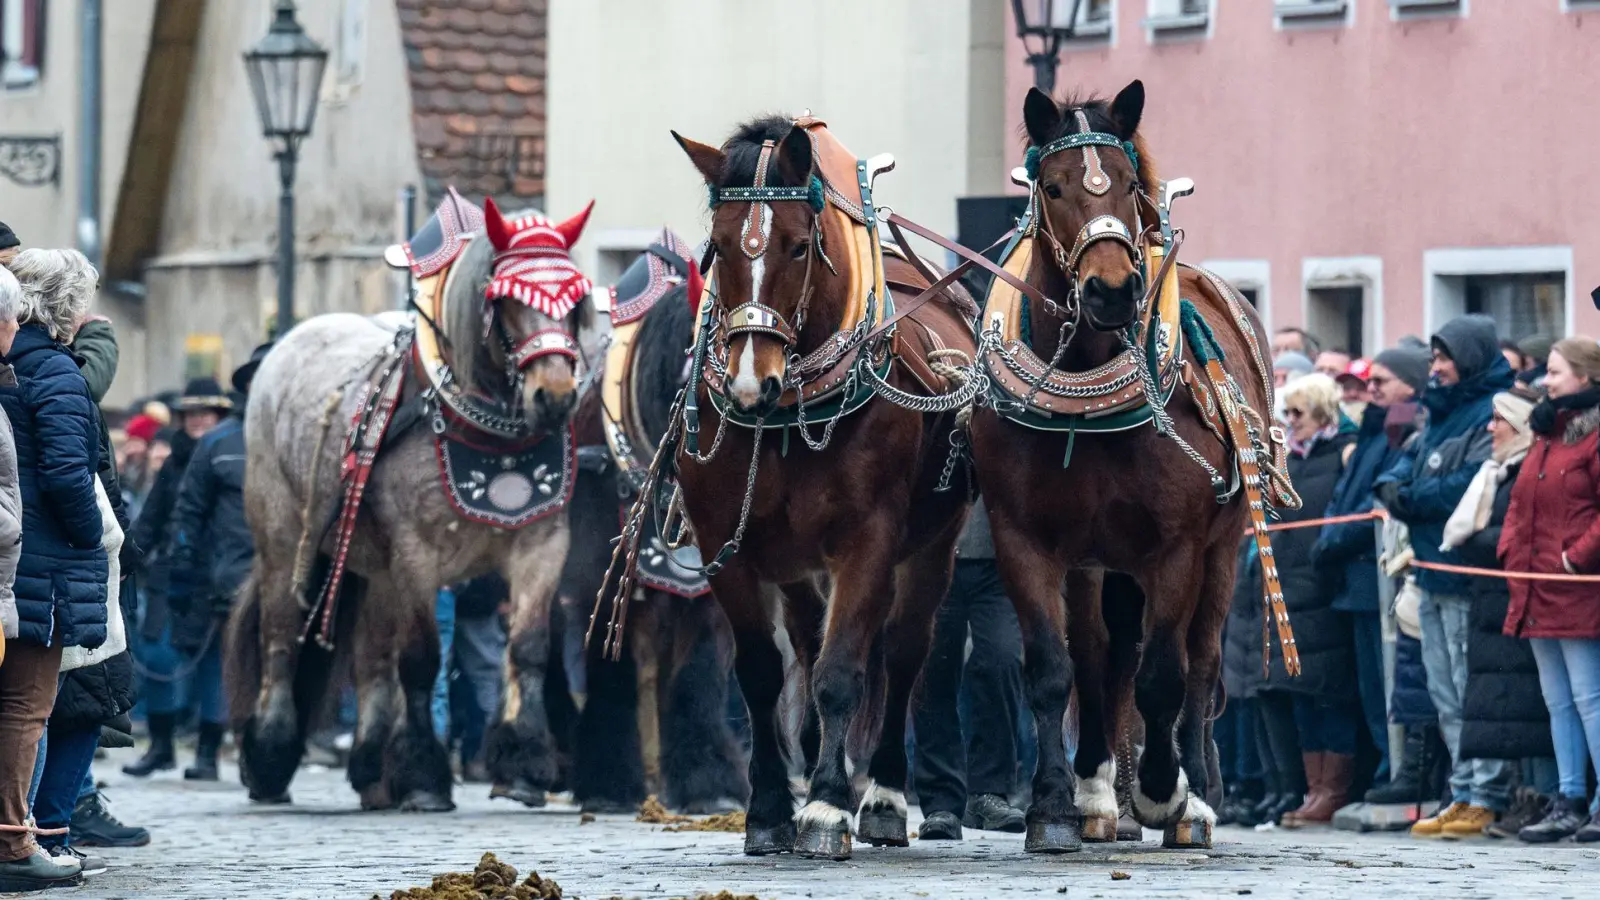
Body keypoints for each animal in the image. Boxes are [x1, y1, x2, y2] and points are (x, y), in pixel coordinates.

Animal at [225, 192, 595, 810]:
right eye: (505, 301)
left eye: (575, 300)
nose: (556, 396)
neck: (484, 431)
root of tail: (288, 343)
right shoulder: (417, 555)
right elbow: (422, 660)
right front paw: (424, 777)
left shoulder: (542, 544)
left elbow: (528, 649)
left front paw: (525, 764)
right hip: (284, 538)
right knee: (279, 635)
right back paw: (273, 754)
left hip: (372, 565)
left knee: (372, 659)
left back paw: (373, 767)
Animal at [598, 115, 972, 858]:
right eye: (716, 247)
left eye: (800, 246)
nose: (750, 382)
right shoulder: (729, 545)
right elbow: (761, 672)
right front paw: (770, 808)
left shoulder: (867, 542)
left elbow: (842, 670)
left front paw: (827, 806)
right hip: (796, 562)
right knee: (805, 638)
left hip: (932, 546)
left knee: (903, 653)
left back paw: (882, 795)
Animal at [960, 78, 1299, 845]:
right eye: (1054, 186)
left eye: (1126, 184)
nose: (1113, 290)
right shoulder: (1028, 542)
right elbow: (1057, 668)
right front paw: (1058, 803)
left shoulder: (1176, 547)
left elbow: (1165, 673)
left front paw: (1163, 789)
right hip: (1099, 562)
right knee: (1102, 658)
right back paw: (1098, 793)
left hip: (1224, 548)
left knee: (1200, 659)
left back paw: (1192, 796)